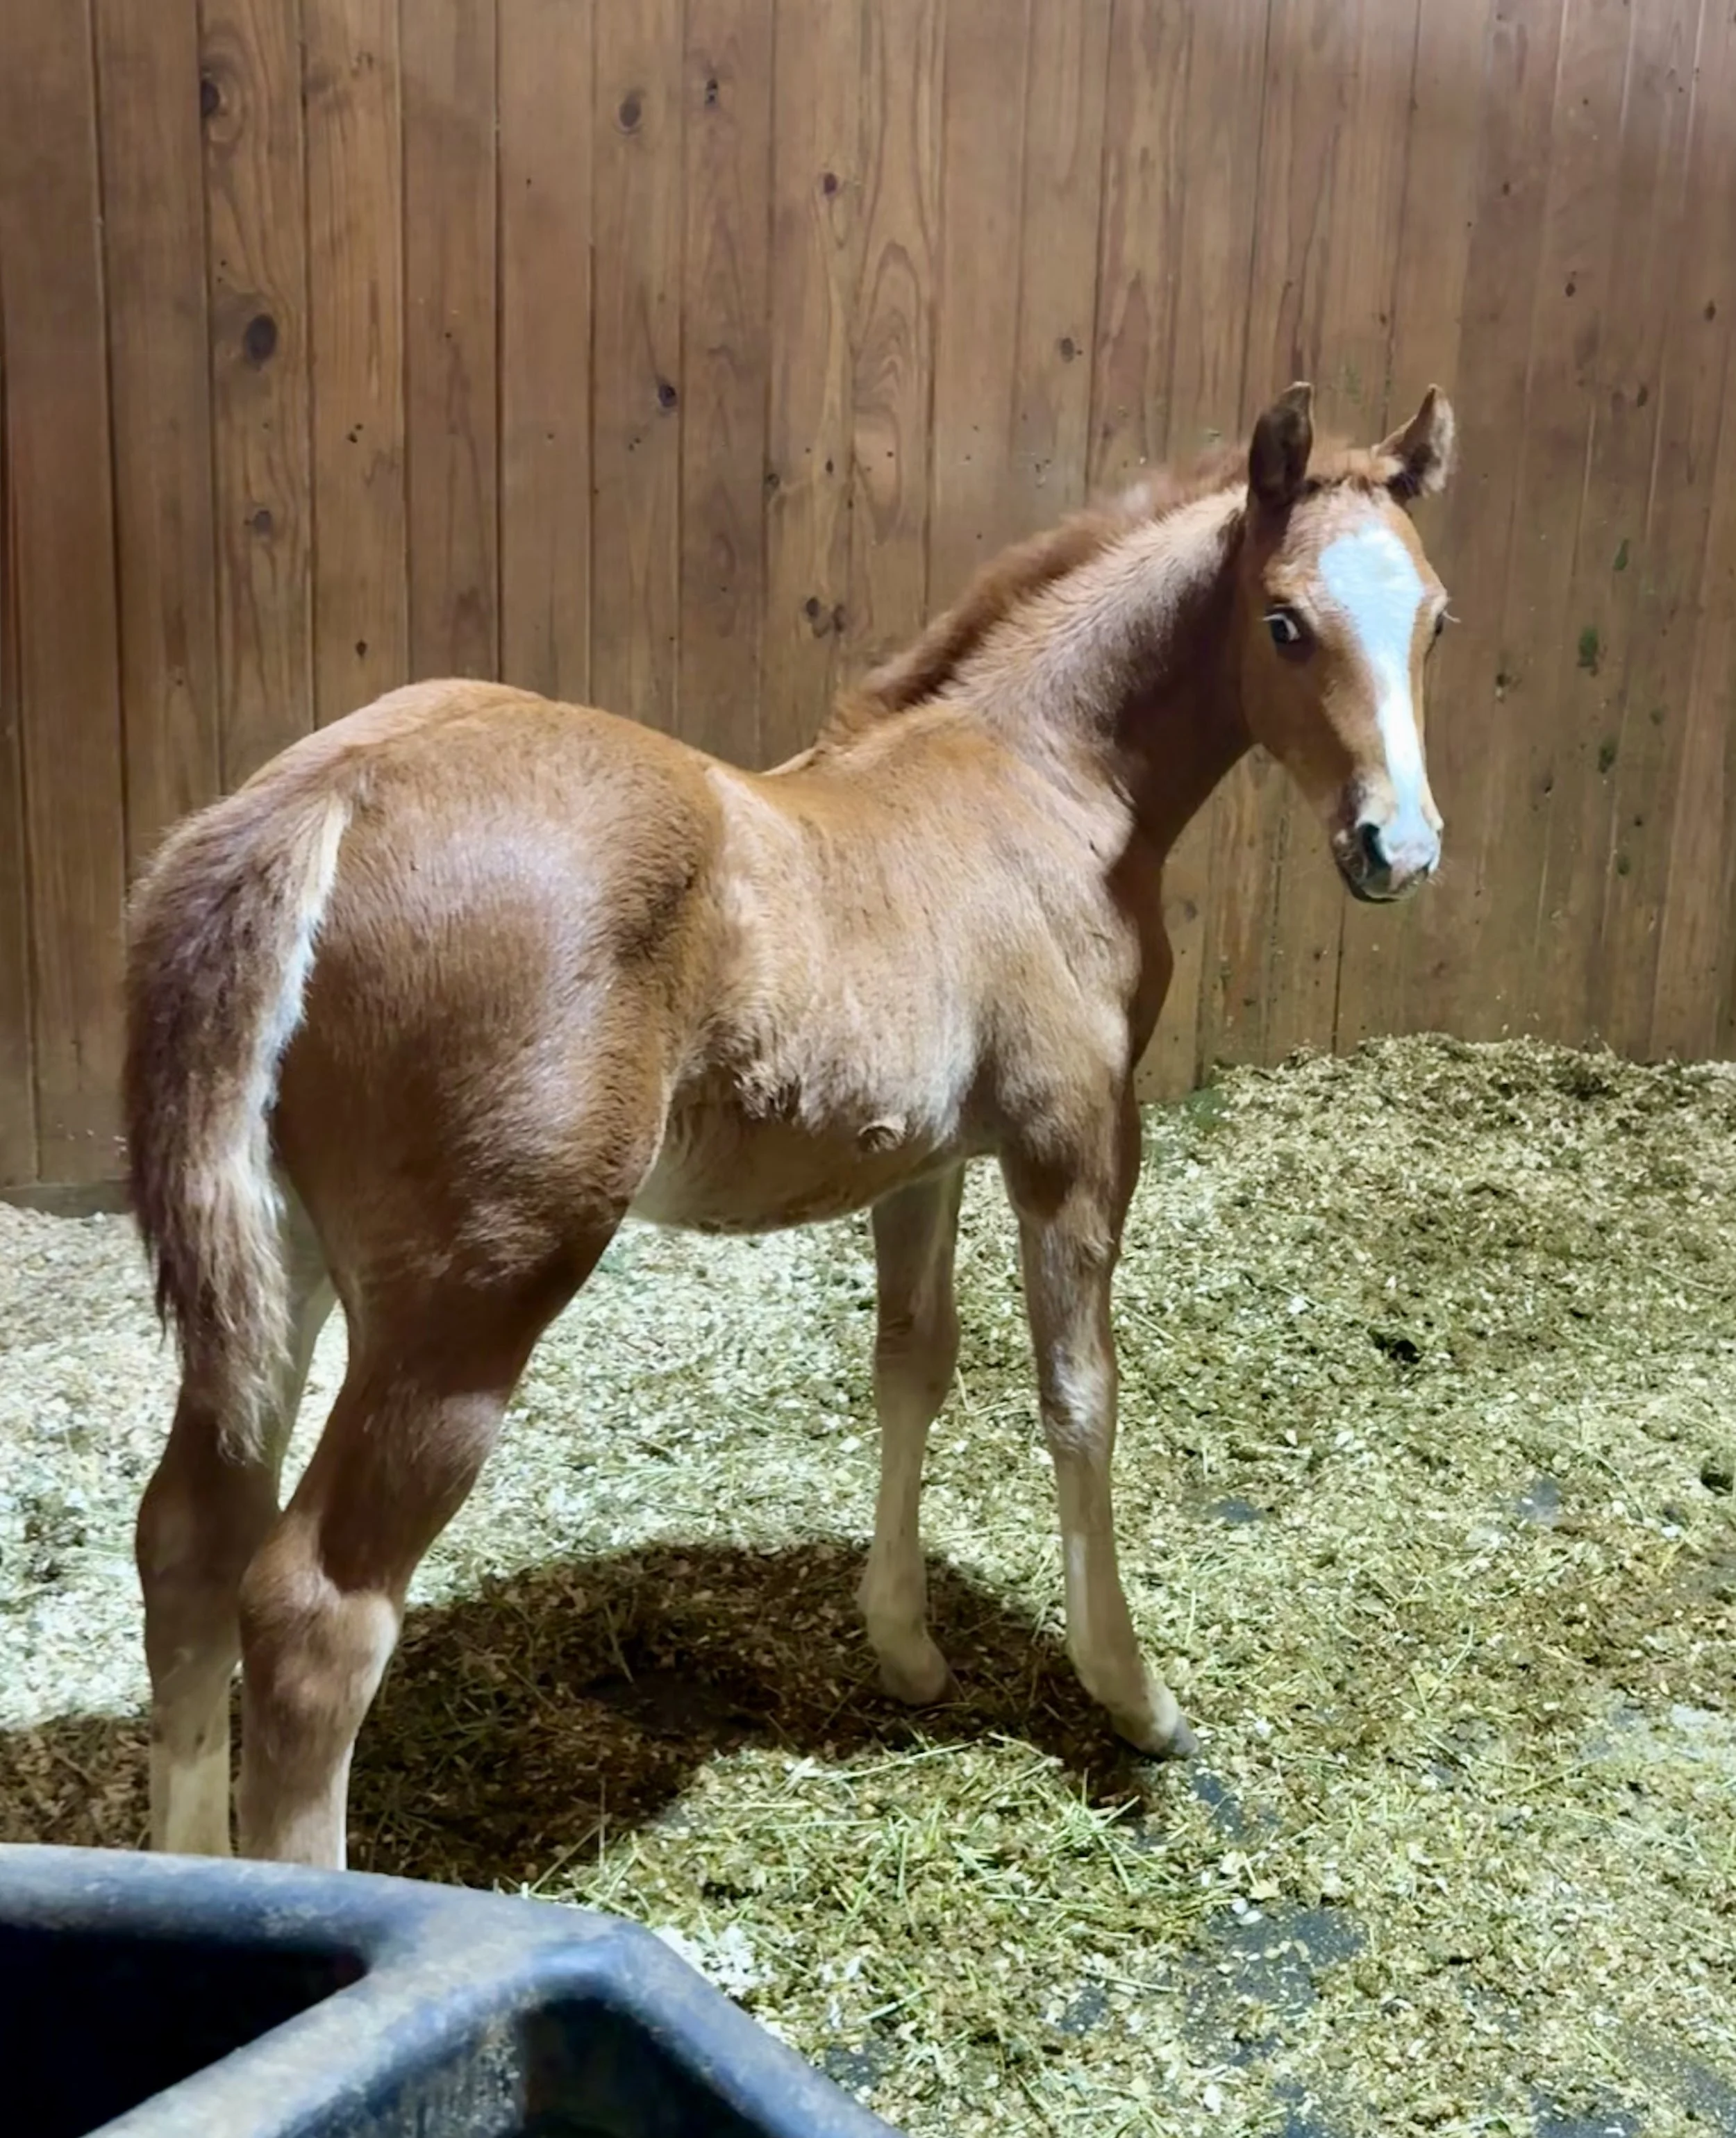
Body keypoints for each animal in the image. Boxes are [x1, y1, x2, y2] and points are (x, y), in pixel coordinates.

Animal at [123, 380, 1456, 1869]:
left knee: (190, 1538)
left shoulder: (926, 1160)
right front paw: (1133, 1692)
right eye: (1285, 620)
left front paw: (907, 1648)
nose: (1398, 847)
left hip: (274, 1259)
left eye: (1437, 618)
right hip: (468, 1305)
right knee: (315, 1612)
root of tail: (324, 798)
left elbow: (912, 1361)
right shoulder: (1075, 1141)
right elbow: (1082, 1395)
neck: (1038, 784)